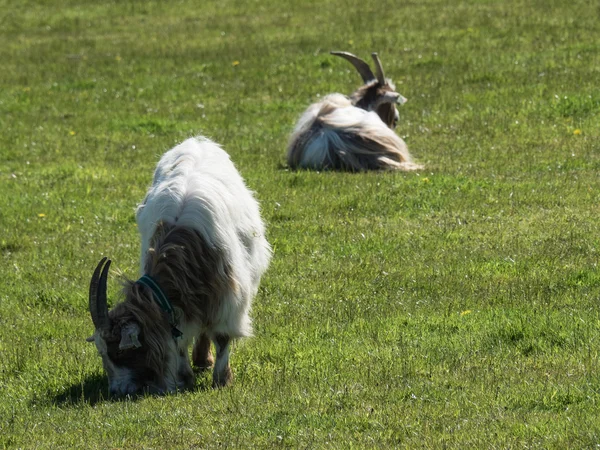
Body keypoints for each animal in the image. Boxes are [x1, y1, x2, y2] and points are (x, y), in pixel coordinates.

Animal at [85, 136, 270, 394]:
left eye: (121, 352)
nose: (117, 391)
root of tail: (197, 140)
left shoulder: (229, 295)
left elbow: (223, 337)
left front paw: (221, 380)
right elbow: (180, 339)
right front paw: (185, 377)